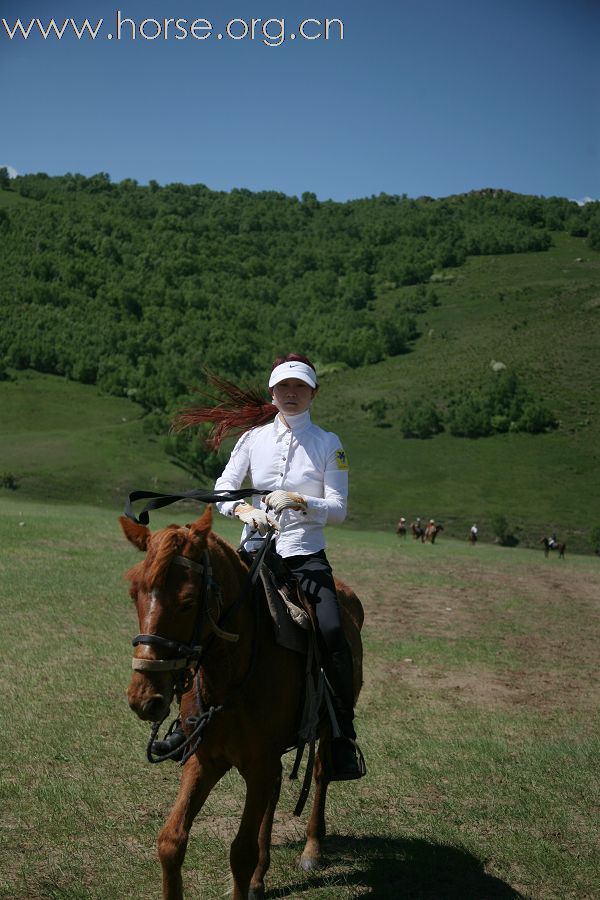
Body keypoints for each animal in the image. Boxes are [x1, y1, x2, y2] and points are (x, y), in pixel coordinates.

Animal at [119, 506, 364, 900]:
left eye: (188, 602)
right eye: (134, 593)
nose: (144, 697)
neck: (231, 672)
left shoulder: (258, 762)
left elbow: (241, 852)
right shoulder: (206, 759)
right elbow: (171, 841)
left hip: (327, 729)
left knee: (322, 773)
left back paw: (311, 850)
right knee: (277, 790)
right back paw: (261, 877)